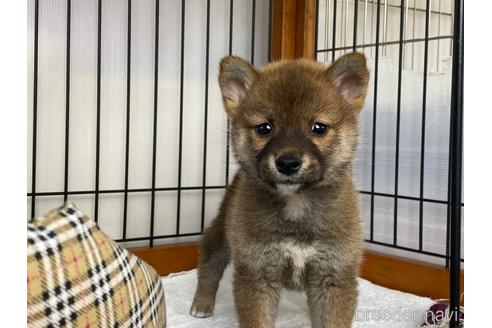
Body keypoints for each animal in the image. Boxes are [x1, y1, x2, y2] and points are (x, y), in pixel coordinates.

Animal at [190, 53, 370, 328]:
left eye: (319, 127)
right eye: (264, 128)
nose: (287, 163)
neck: (296, 204)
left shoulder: (333, 274)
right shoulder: (257, 272)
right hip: (224, 230)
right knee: (211, 261)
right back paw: (202, 304)